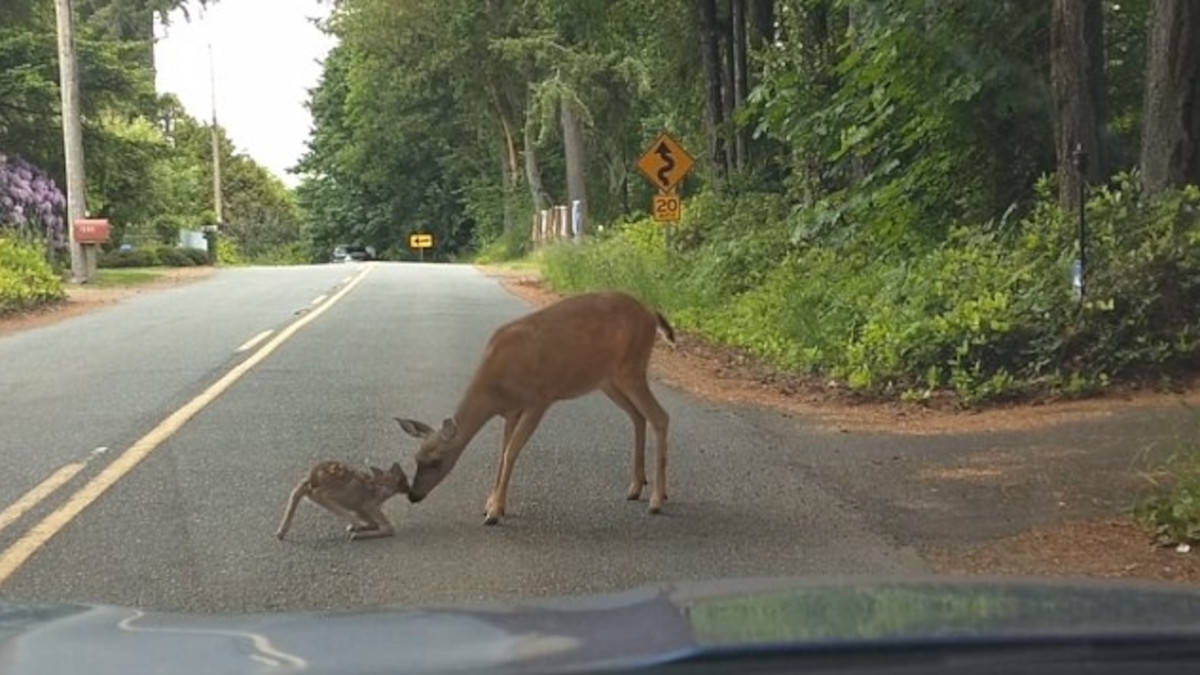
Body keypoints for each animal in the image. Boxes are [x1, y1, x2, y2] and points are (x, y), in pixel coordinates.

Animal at [396, 288, 672, 521]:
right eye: (417, 457)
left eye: (436, 461)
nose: (413, 496)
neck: (494, 388)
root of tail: (651, 313)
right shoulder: (510, 411)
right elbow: (502, 452)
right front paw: (491, 503)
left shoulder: (539, 399)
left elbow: (511, 451)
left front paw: (495, 511)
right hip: (607, 380)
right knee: (638, 416)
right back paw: (636, 487)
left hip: (631, 369)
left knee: (660, 416)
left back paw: (657, 499)